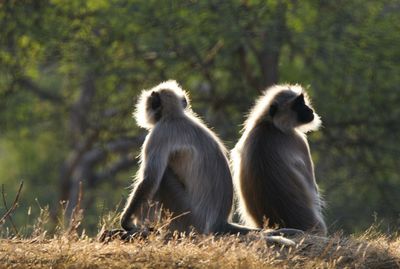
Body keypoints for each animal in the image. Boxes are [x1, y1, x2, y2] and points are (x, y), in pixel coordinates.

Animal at [118, 80, 300, 242]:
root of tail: (220, 222)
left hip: (190, 218)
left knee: (162, 179)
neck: (175, 116)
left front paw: (126, 222)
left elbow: (149, 180)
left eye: (151, 102)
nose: (145, 106)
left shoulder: (159, 133)